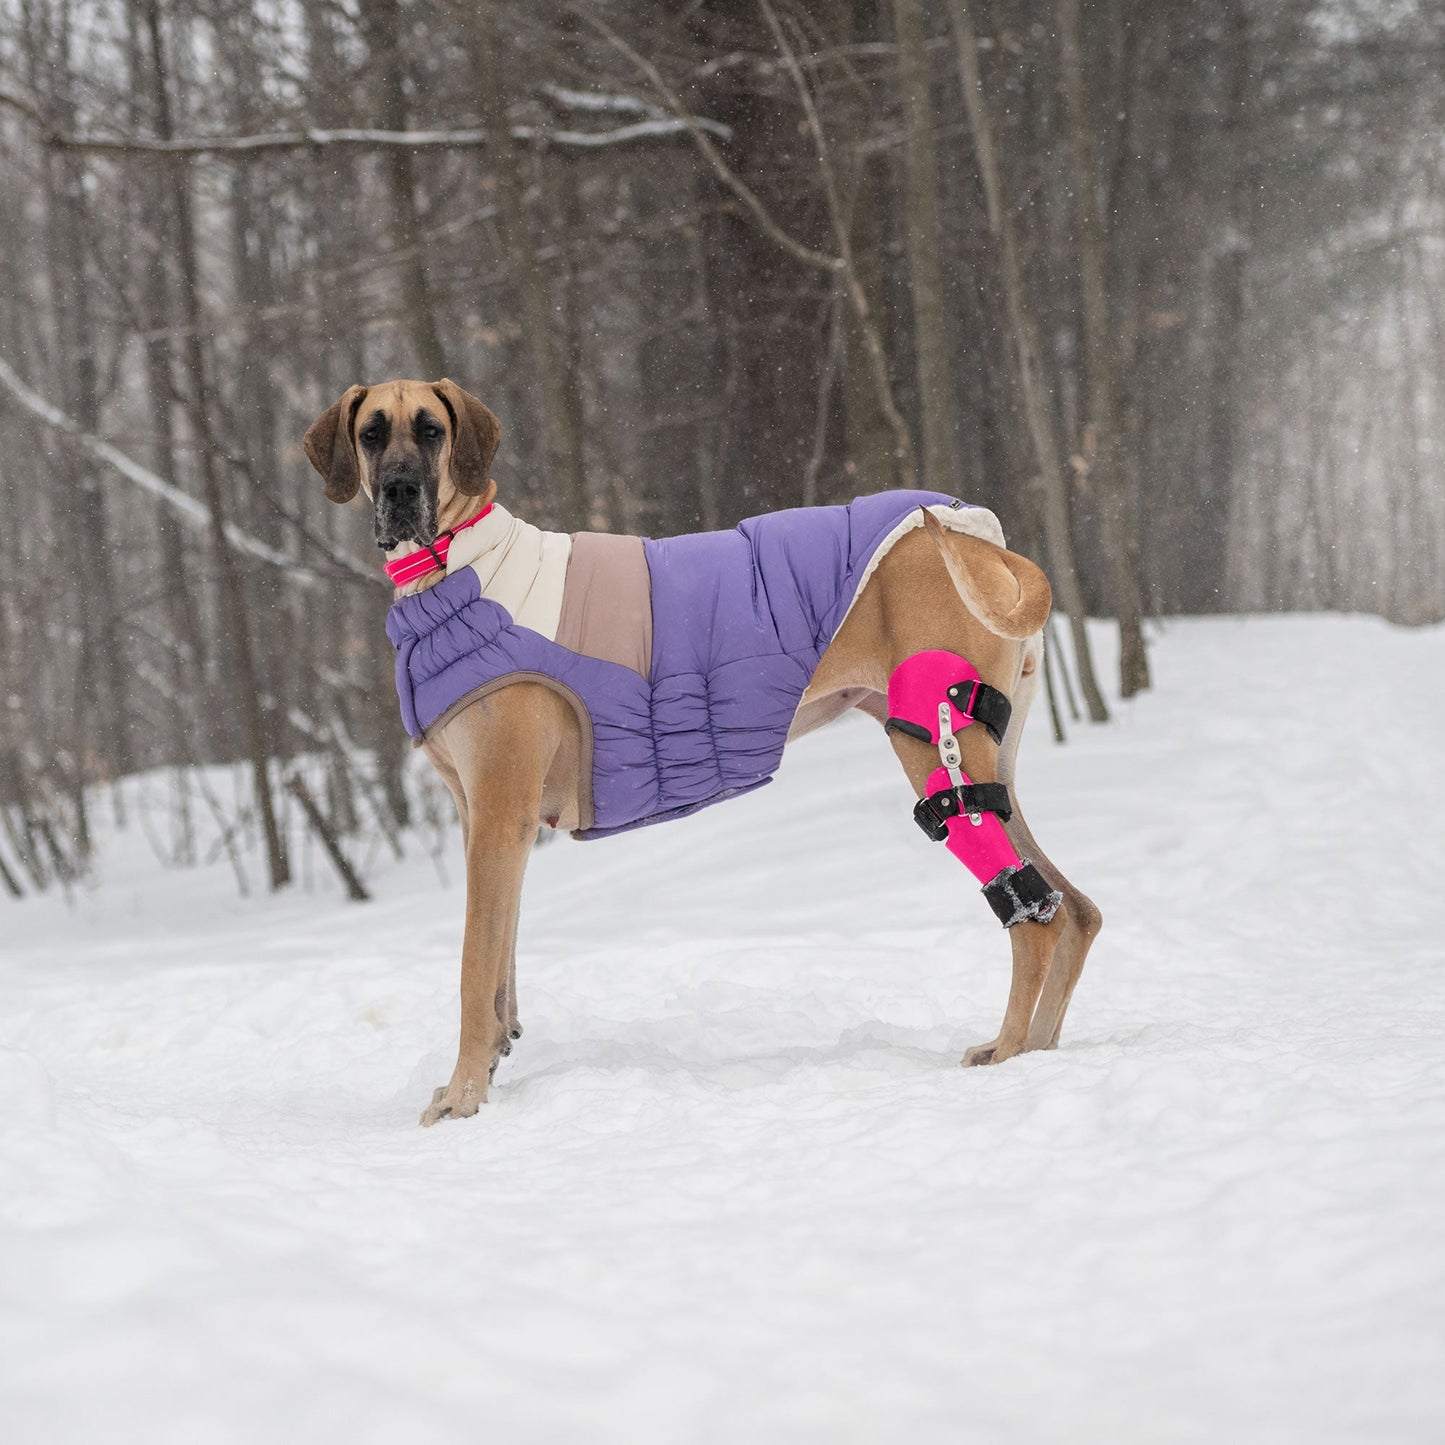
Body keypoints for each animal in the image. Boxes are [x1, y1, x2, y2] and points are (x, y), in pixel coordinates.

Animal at [302, 378, 1092, 1121]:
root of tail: (978, 535)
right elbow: (501, 967)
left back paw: (1009, 1052)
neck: (463, 568)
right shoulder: (485, 820)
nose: (401, 490)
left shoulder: (498, 815)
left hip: (932, 745)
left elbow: (472, 969)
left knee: (1037, 919)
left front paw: (463, 1095)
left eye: (431, 431)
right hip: (983, 757)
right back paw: (1038, 1046)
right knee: (1074, 907)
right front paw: (489, 1064)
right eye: (372, 434)